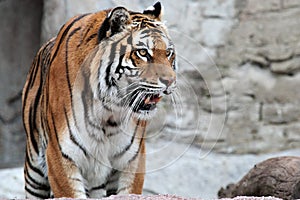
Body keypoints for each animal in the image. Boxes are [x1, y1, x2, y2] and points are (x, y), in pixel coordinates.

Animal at [22, 1, 177, 198]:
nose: (170, 81)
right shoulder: (60, 156)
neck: (109, 112)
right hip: (34, 172)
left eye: (169, 53)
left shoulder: (131, 160)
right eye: (142, 52)